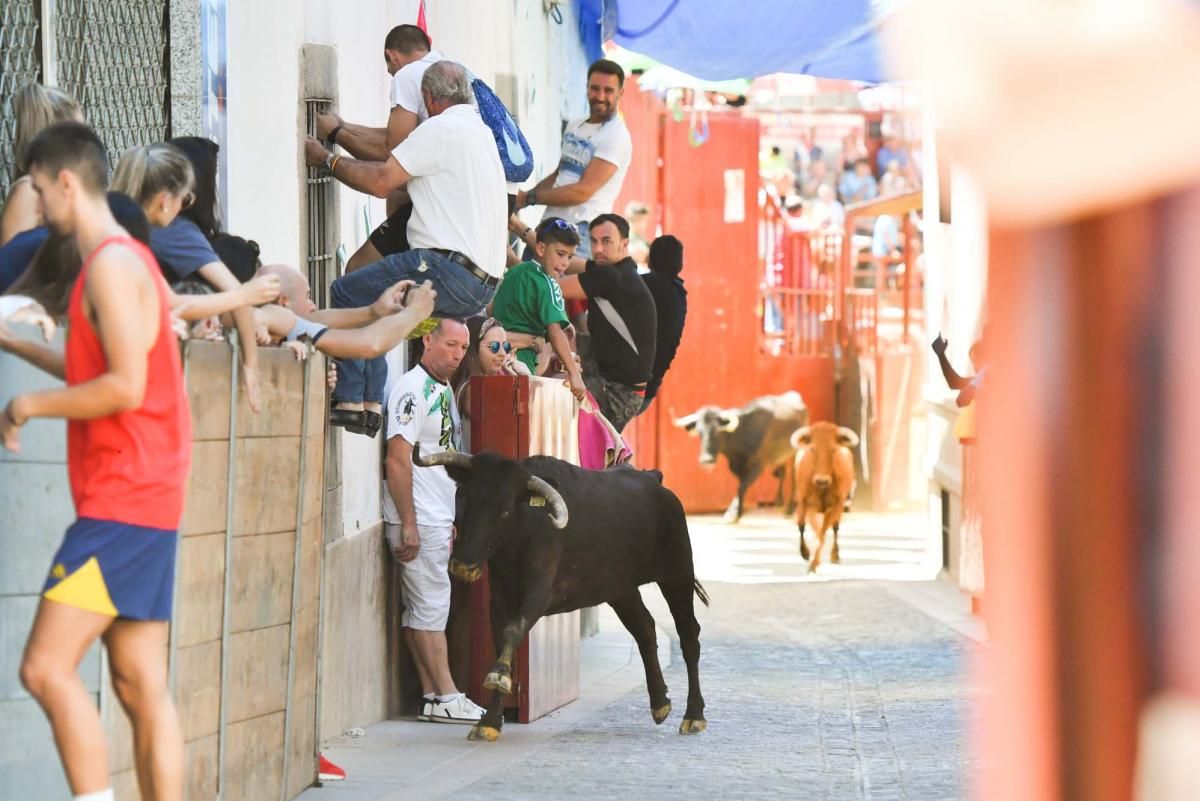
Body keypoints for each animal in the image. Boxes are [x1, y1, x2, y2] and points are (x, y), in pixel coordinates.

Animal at [415, 441, 705, 743]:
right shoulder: (499, 601)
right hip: (620, 589)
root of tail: (653, 479)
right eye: (464, 497)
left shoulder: (539, 594)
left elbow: (513, 632)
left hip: (678, 575)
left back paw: (694, 715)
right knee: (645, 629)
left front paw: (497, 678)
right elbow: (503, 643)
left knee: (688, 635)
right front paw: (491, 721)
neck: (522, 532)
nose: (463, 565)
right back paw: (660, 703)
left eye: (505, 510)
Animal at [672, 388, 811, 525]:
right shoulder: (736, 467)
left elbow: (742, 486)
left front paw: (733, 514)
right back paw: (779, 502)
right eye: (700, 433)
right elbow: (741, 486)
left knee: (793, 475)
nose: (706, 460)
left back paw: (789, 509)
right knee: (781, 473)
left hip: (797, 451)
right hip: (779, 456)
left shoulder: (757, 466)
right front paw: (737, 512)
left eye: (718, 432)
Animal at [792, 422, 859, 573]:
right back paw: (805, 552)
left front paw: (814, 564)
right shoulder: (810, 506)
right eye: (812, 449)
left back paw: (835, 555)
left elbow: (822, 533)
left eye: (833, 449)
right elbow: (816, 532)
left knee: (835, 528)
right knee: (802, 525)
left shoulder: (834, 506)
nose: (822, 480)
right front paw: (810, 559)